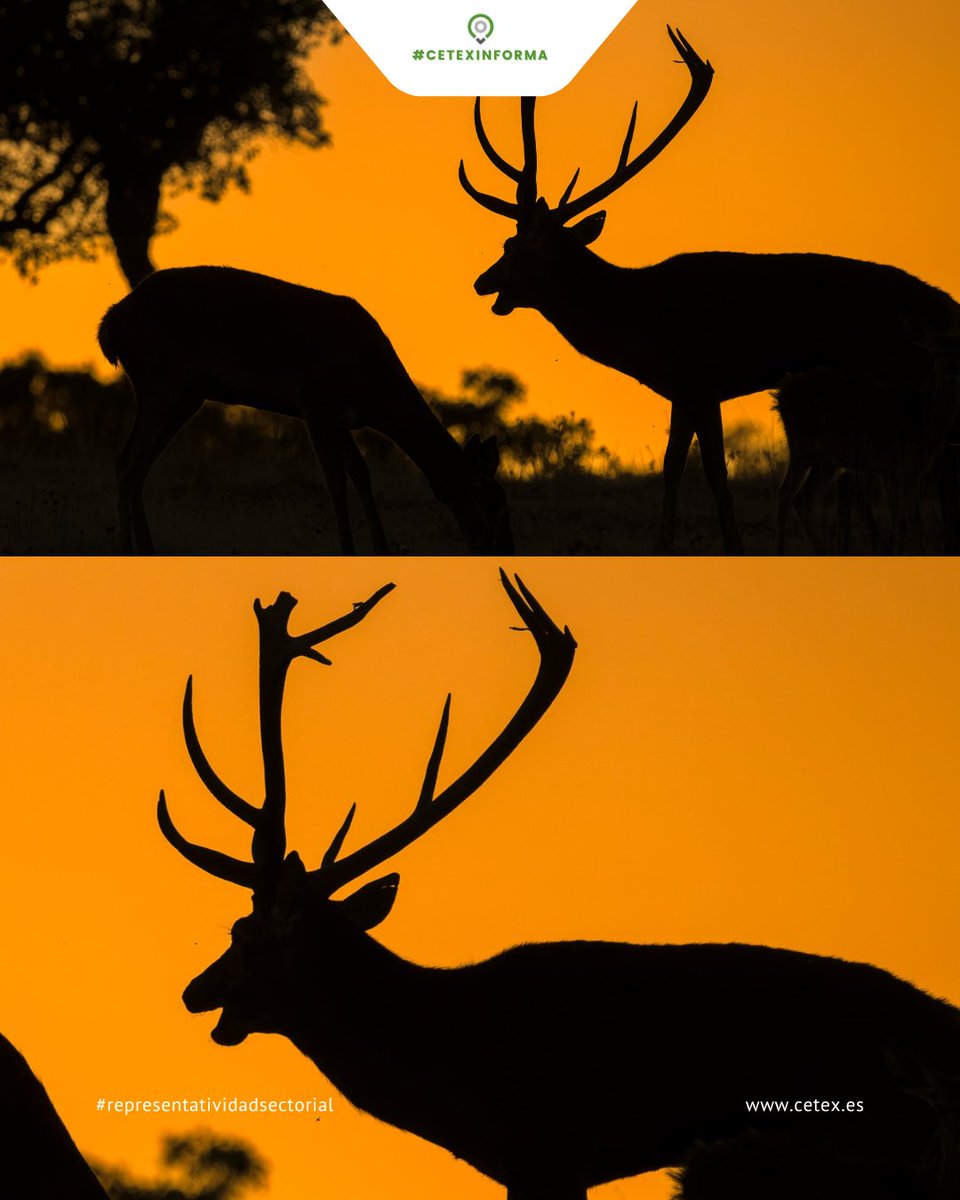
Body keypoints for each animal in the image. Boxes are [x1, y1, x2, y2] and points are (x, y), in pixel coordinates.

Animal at [97, 267, 513, 555]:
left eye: (503, 500)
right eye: (486, 496)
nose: (501, 548)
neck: (376, 388)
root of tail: (110, 324)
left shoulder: (341, 420)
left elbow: (361, 474)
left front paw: (381, 549)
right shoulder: (313, 402)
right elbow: (335, 480)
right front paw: (348, 551)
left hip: (186, 395)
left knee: (138, 463)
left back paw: (149, 549)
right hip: (160, 383)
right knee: (127, 461)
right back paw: (125, 551)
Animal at [774, 326, 960, 553]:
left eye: (959, 352)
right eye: (935, 352)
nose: (952, 372)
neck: (926, 422)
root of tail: (780, 394)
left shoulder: (913, 472)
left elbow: (915, 522)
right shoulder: (892, 466)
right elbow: (899, 522)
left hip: (827, 461)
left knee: (802, 498)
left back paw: (822, 551)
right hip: (801, 446)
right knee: (785, 494)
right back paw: (781, 552)